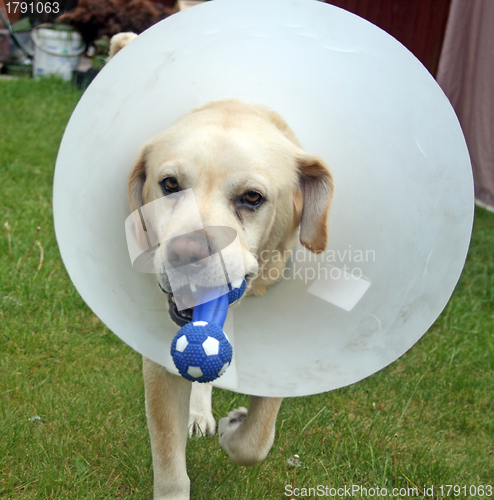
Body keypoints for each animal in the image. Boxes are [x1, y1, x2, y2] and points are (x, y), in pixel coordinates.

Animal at [114, 28, 334, 500]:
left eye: (252, 197)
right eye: (169, 184)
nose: (186, 253)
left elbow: (257, 439)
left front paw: (236, 428)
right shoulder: (158, 366)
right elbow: (170, 466)